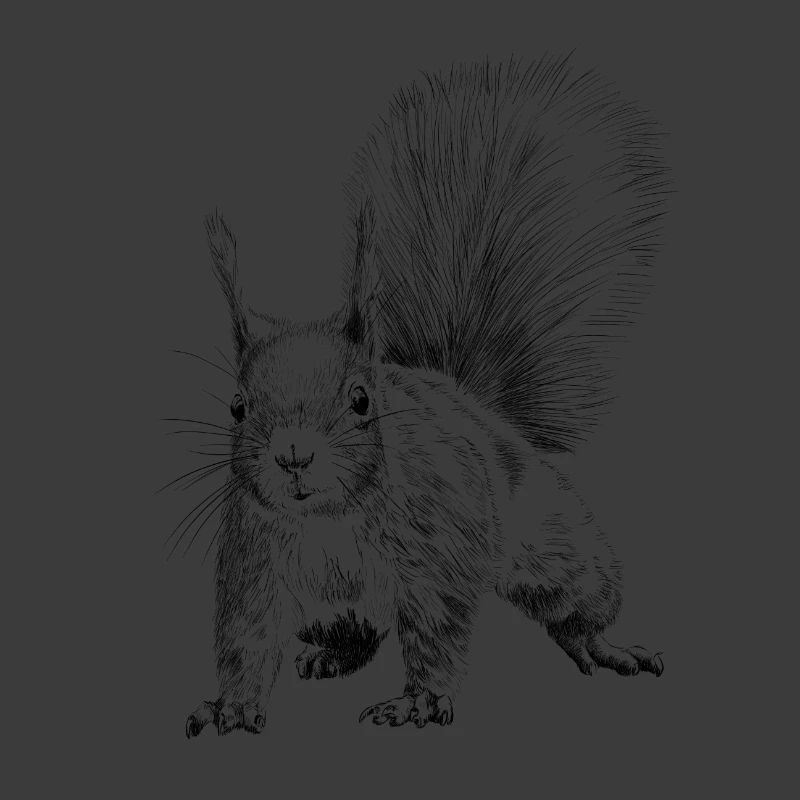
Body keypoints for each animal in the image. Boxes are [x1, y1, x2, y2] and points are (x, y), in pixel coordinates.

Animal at [181, 54, 671, 737]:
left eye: (362, 400)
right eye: (237, 407)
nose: (294, 456)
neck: (328, 519)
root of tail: (466, 397)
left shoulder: (440, 547)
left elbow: (438, 628)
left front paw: (416, 702)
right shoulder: (253, 563)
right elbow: (245, 637)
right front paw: (229, 704)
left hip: (551, 536)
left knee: (577, 593)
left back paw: (602, 644)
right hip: (331, 608)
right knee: (356, 633)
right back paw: (329, 655)